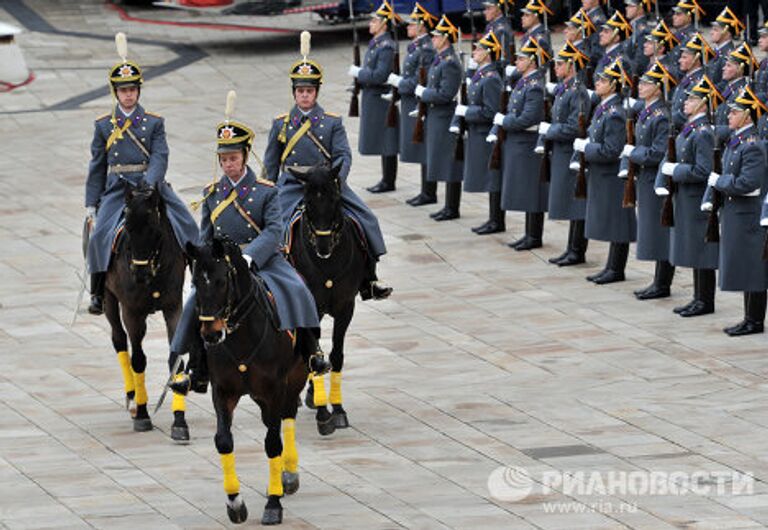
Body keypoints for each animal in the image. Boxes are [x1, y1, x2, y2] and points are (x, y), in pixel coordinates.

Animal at [102, 182, 189, 438]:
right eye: (128, 229)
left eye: (154, 230)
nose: (139, 274)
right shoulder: (132, 313)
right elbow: (138, 360)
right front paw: (142, 413)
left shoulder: (173, 307)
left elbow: (175, 359)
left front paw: (179, 420)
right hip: (109, 300)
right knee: (119, 339)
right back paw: (132, 395)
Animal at [187, 238, 312, 524]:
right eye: (195, 281)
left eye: (221, 281)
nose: (210, 335)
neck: (240, 334)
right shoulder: (223, 391)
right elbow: (224, 440)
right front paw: (235, 503)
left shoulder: (275, 390)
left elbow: (273, 443)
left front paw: (273, 504)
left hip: (294, 379)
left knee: (286, 418)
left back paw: (288, 475)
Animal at [284, 163, 368, 436]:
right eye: (308, 201)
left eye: (334, 198)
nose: (323, 246)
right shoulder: (309, 307)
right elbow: (315, 356)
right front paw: (324, 414)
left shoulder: (346, 307)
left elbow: (336, 355)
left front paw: (338, 410)